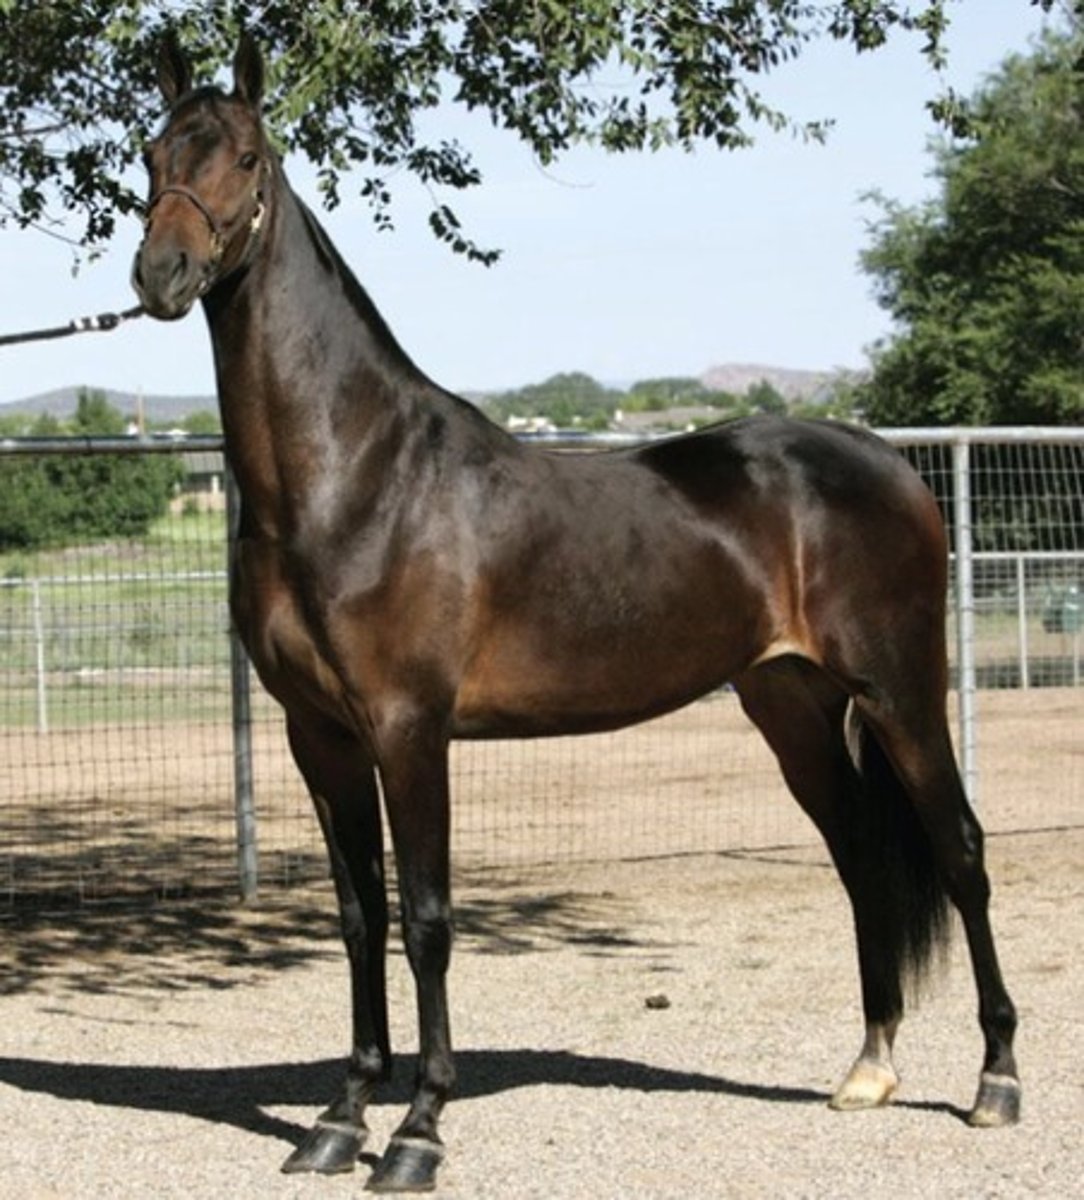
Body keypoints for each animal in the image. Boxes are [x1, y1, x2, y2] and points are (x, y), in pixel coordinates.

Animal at [132, 33, 1020, 1194]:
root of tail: (890, 464)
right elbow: (357, 916)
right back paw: (868, 1068)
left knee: (958, 850)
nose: (159, 273)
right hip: (789, 705)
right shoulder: (316, 735)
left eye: (243, 155)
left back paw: (995, 1083)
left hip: (900, 688)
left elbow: (424, 920)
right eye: (151, 153)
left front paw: (418, 1131)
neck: (354, 475)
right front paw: (339, 1118)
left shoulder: (409, 730)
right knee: (863, 858)